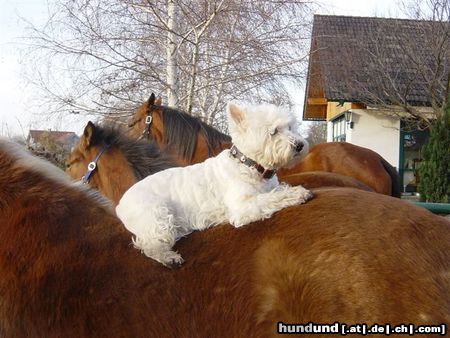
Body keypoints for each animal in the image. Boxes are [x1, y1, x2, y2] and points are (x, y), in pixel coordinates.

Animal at [116, 101, 312, 266]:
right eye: (273, 132)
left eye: (290, 127)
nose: (300, 145)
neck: (248, 164)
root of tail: (120, 204)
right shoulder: (242, 207)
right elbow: (270, 199)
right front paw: (298, 193)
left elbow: (276, 191)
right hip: (157, 215)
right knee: (149, 244)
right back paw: (169, 257)